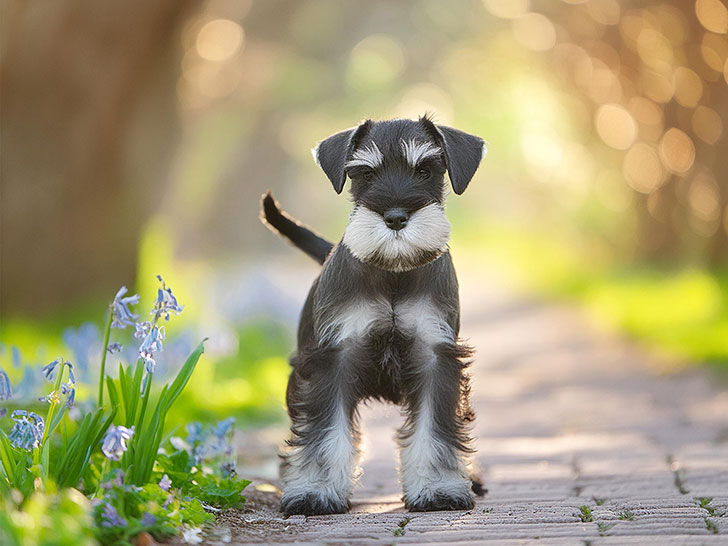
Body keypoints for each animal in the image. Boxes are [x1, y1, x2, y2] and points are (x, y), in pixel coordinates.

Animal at [258, 115, 486, 516]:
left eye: (425, 170)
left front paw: (439, 488)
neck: (393, 272)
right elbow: (325, 431)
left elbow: (436, 428)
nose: (395, 218)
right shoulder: (333, 358)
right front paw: (315, 492)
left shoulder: (435, 355)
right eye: (365, 174)